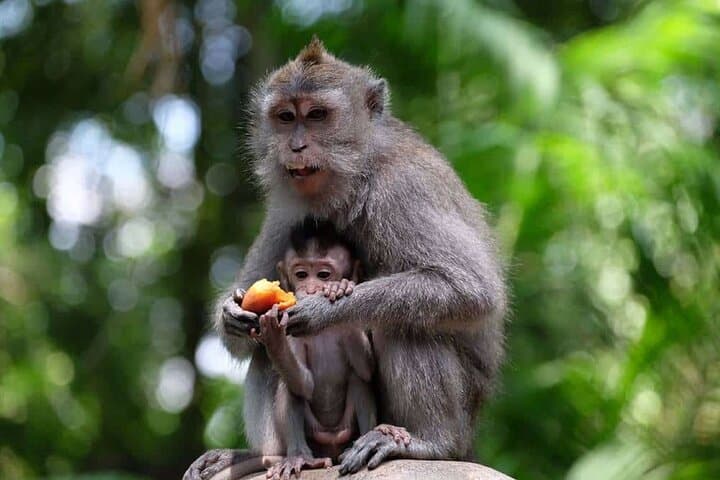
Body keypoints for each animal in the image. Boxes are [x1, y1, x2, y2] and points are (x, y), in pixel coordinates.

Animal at [184, 37, 507, 479]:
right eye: (286, 117)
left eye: (317, 116)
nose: (296, 146)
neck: (356, 174)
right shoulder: (286, 210)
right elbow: (245, 333)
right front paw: (232, 313)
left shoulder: (403, 188)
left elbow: (471, 289)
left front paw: (324, 310)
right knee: (264, 351)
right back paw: (262, 457)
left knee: (406, 324)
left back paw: (429, 442)